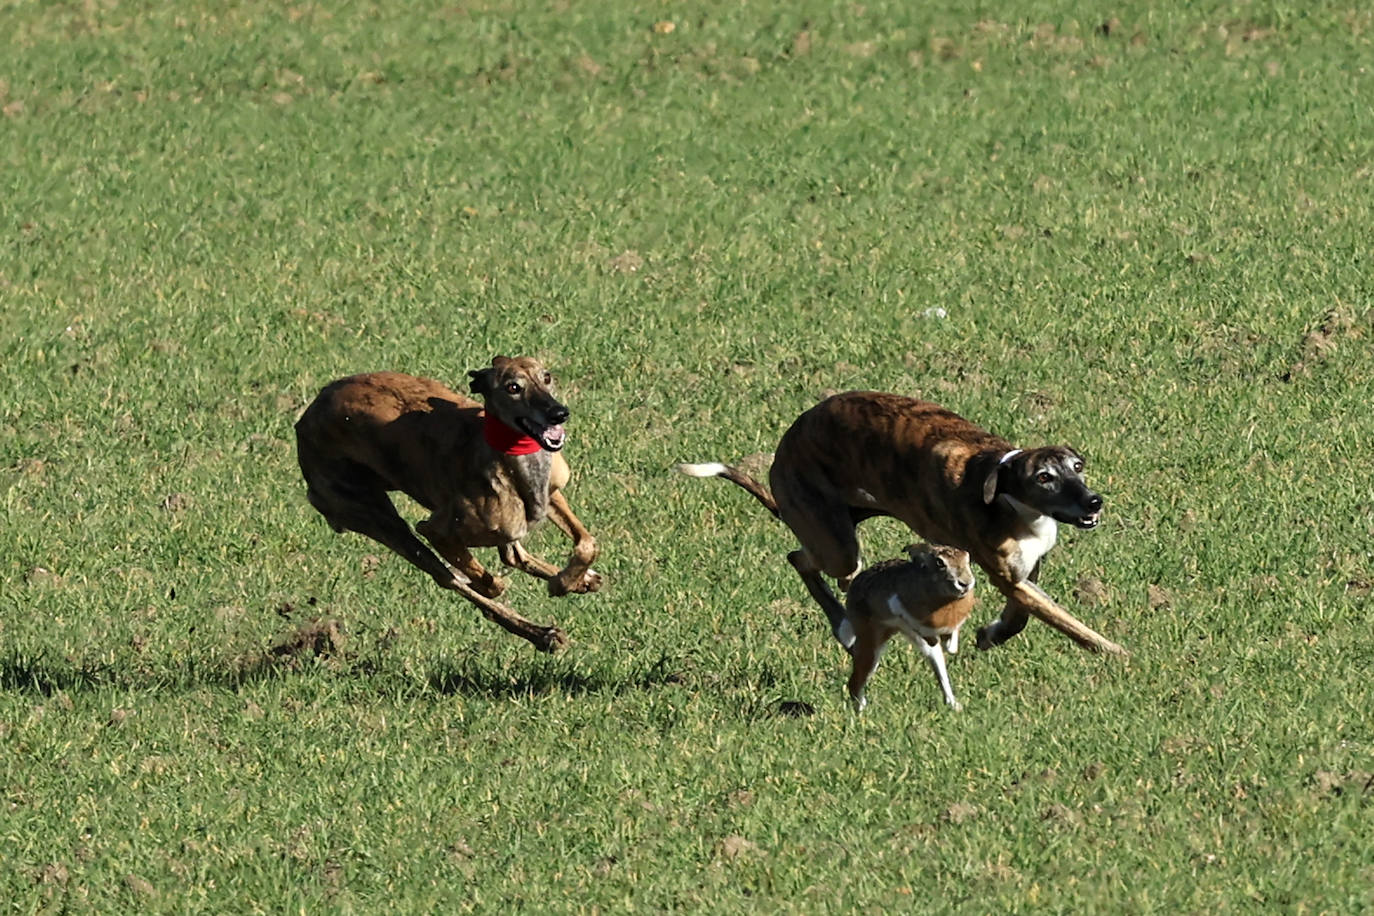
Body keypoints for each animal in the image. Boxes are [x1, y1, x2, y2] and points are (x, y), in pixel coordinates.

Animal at [298, 354, 599, 650]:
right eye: (513, 387)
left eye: (546, 377)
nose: (559, 412)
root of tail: (306, 418)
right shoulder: (436, 530)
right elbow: (487, 583)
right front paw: (556, 584)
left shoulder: (552, 493)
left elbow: (587, 544)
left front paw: (569, 580)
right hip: (380, 521)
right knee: (448, 577)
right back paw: (541, 633)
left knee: (512, 555)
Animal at [678, 390, 1126, 656]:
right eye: (1044, 478)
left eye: (1077, 467)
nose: (1094, 501)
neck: (1003, 491)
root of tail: (784, 446)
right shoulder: (1005, 574)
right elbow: (1065, 622)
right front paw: (1116, 654)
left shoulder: (1028, 567)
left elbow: (1022, 615)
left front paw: (991, 634)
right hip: (837, 544)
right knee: (803, 560)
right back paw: (843, 624)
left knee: (806, 558)